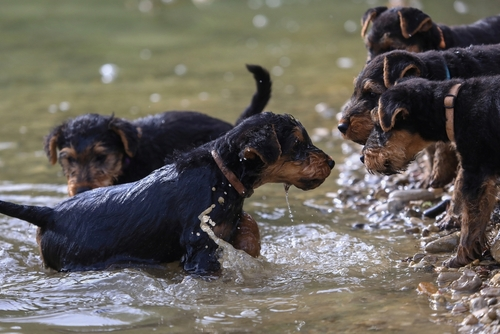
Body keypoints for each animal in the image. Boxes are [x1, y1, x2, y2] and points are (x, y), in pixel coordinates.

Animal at [1, 113, 336, 276]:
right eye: (298, 144)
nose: (332, 162)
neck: (221, 173)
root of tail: (50, 214)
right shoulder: (200, 248)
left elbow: (247, 225)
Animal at [360, 76, 500, 268]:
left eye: (378, 124)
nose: (362, 157)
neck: (452, 108)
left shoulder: (475, 172)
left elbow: (470, 221)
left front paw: (460, 258)